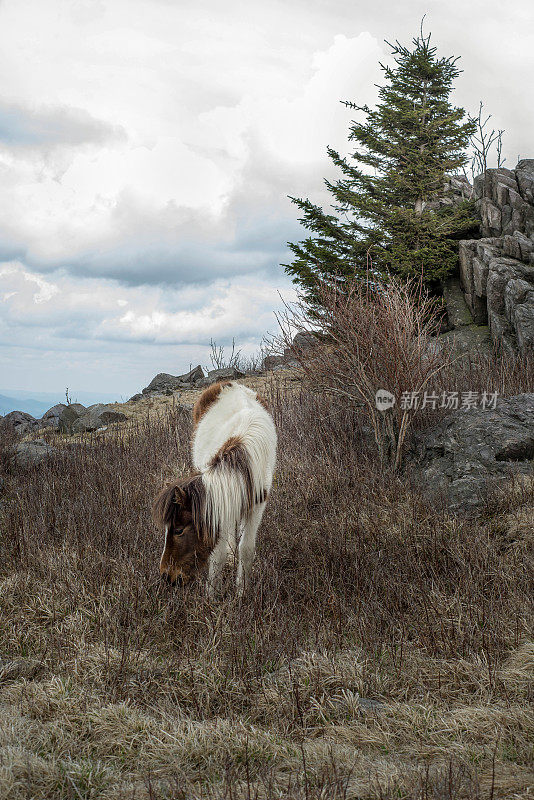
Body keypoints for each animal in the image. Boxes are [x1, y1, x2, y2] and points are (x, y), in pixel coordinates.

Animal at [151, 382, 276, 592]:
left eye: (178, 530)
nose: (167, 576)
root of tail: (228, 384)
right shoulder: (219, 508)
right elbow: (218, 556)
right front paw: (212, 596)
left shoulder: (257, 505)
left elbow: (246, 549)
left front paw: (242, 593)